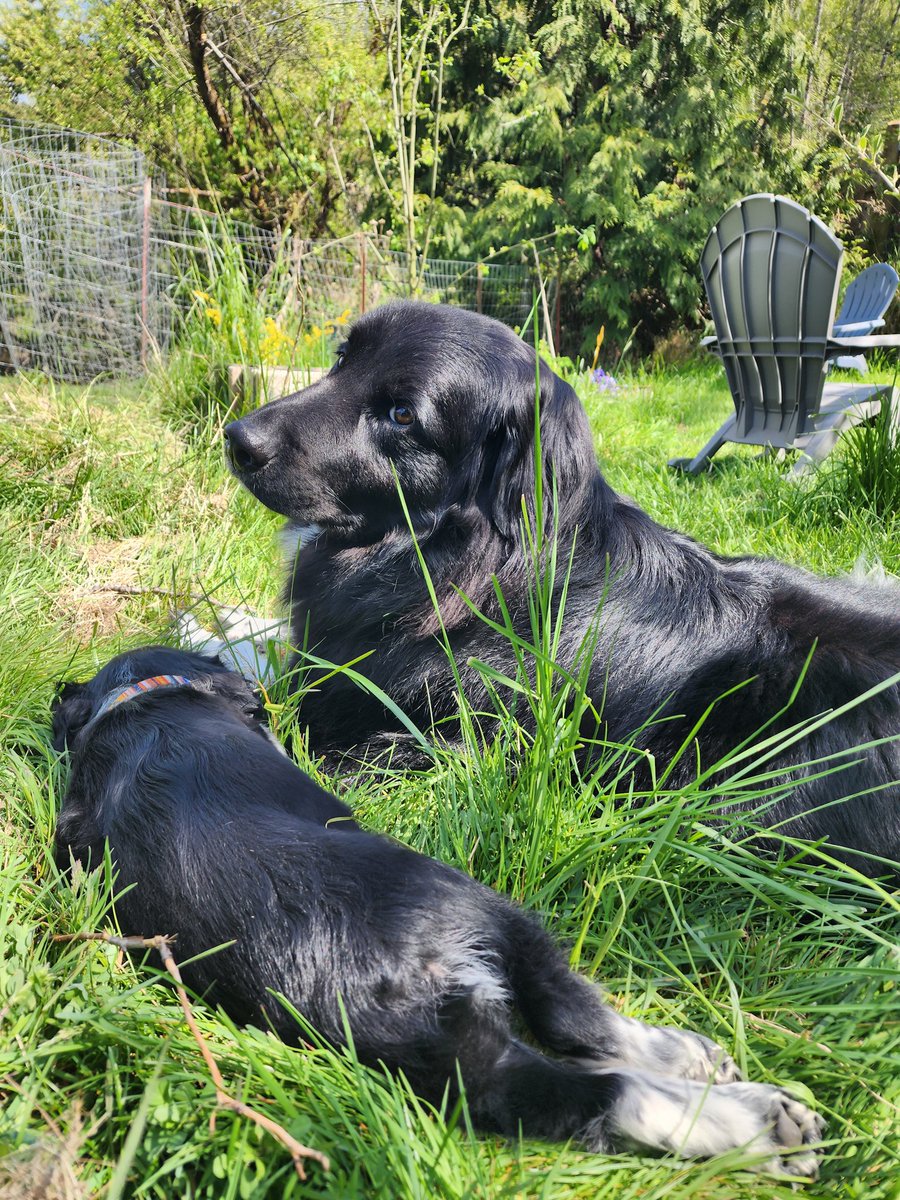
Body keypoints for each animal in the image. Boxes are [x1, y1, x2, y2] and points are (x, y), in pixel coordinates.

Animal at [49, 648, 825, 1171]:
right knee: (589, 1038)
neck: (139, 708)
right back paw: (751, 1112)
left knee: (563, 1073)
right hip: (495, 914)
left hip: (457, 1063)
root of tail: (397, 971)